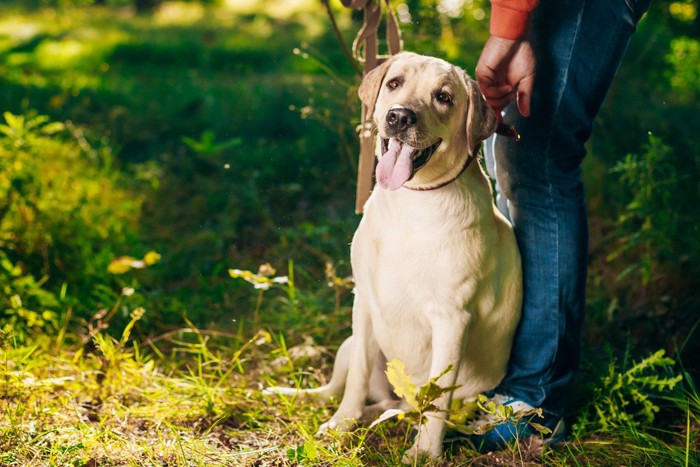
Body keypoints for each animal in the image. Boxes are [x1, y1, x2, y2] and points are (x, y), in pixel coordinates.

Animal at [266, 54, 524, 460]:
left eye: (444, 97)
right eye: (394, 83)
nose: (400, 117)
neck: (412, 203)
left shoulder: (452, 320)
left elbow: (438, 399)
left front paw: (426, 453)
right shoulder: (365, 303)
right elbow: (355, 379)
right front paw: (341, 424)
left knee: (412, 405)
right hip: (350, 343)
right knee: (334, 387)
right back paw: (299, 396)